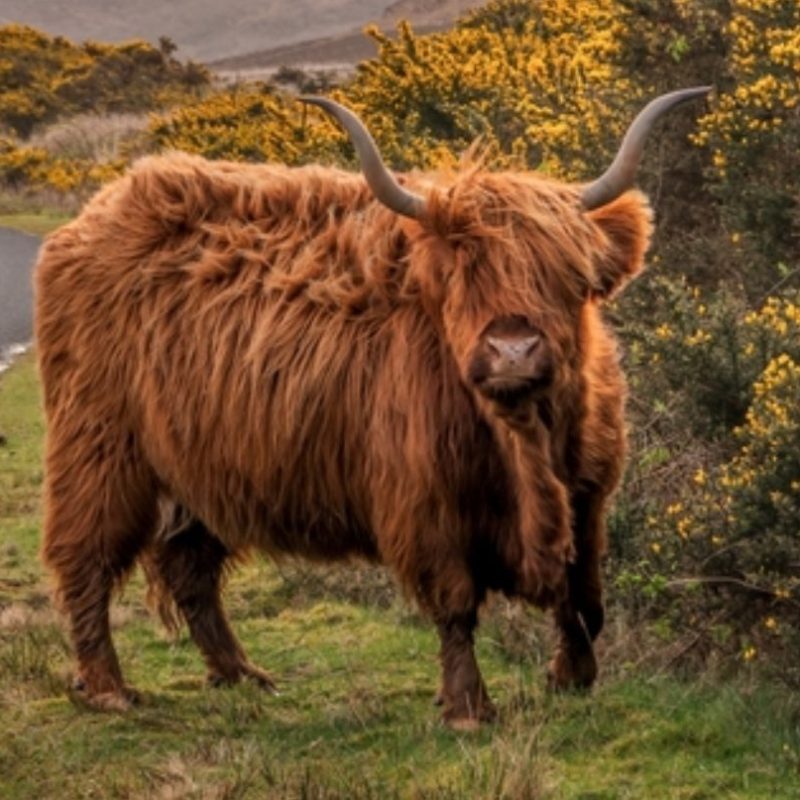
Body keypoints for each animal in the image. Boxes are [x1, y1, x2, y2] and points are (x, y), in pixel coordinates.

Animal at [36, 86, 708, 724]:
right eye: (459, 272)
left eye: (564, 274)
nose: (512, 350)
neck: (524, 444)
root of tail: (94, 217)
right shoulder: (426, 500)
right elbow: (455, 604)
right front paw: (467, 707)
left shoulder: (589, 497)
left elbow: (585, 595)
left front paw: (572, 676)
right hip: (99, 450)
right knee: (85, 559)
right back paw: (108, 687)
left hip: (202, 466)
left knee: (190, 569)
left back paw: (241, 674)